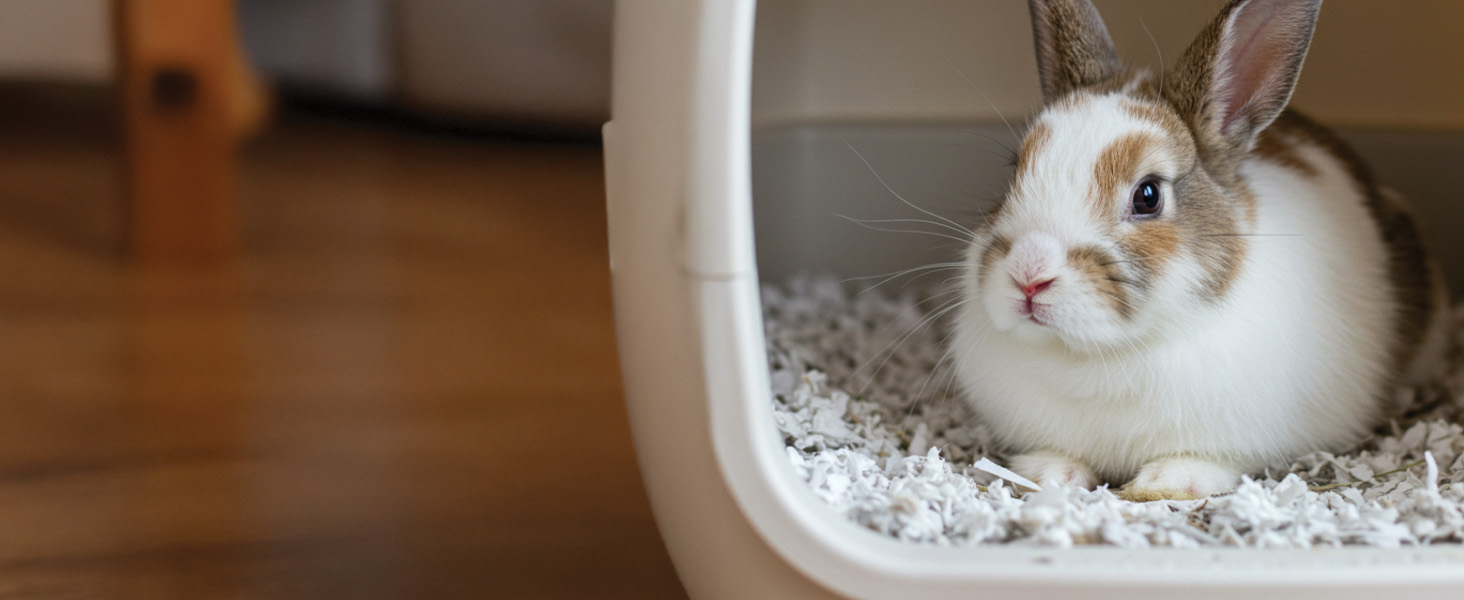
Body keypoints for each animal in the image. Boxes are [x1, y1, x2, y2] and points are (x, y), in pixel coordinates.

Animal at [948, 0, 1451, 501]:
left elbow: (1206, 461)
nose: (1029, 277)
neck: (1098, 355)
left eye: (1148, 196)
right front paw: (1047, 475)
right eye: (1015, 172)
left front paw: (1164, 484)